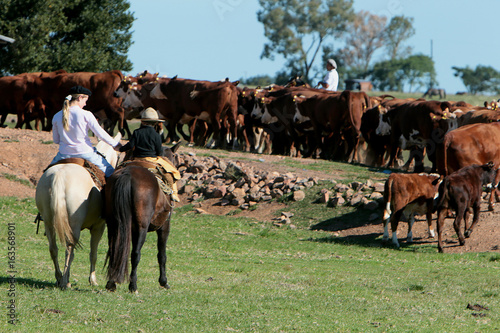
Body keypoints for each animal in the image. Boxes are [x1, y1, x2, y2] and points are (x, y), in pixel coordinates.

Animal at [35, 132, 121, 288]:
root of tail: (59, 177)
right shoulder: (99, 227)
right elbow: (93, 254)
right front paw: (93, 280)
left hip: (49, 222)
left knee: (53, 249)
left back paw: (59, 277)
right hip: (73, 225)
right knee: (69, 249)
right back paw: (65, 281)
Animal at [103, 143, 180, 290]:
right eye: (175, 157)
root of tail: (127, 175)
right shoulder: (164, 226)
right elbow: (162, 254)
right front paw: (164, 281)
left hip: (113, 225)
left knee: (115, 249)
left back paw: (111, 283)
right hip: (141, 227)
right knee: (135, 253)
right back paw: (133, 285)